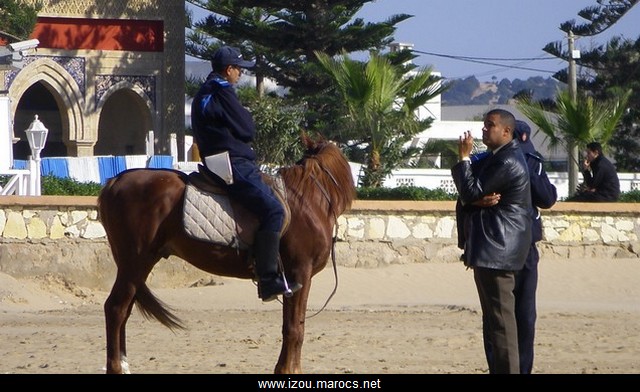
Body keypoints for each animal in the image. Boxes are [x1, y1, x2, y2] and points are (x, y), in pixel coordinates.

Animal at [97, 136, 356, 374]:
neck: (309, 199)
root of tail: (115, 181)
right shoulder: (299, 273)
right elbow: (295, 328)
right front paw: (288, 371)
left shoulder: (293, 280)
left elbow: (291, 325)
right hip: (135, 262)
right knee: (116, 309)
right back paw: (116, 367)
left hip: (135, 265)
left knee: (125, 310)